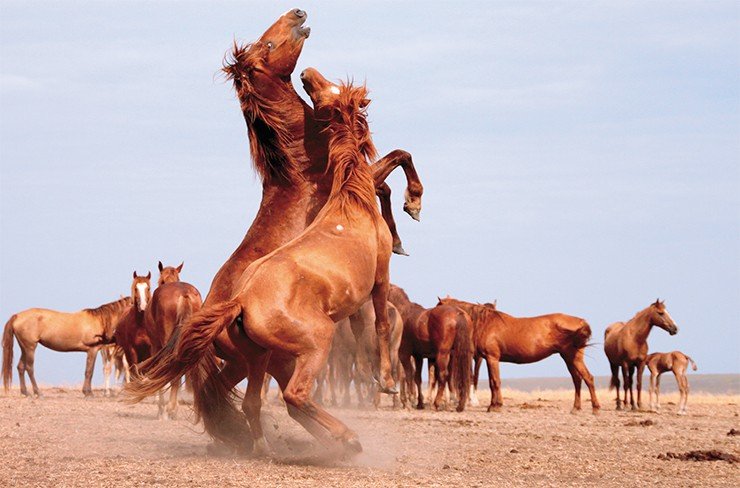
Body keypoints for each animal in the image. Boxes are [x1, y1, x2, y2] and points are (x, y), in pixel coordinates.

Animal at [2, 296, 131, 397]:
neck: (101, 320)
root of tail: (17, 316)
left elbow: (89, 371)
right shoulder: (92, 350)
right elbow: (89, 371)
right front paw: (88, 393)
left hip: (24, 347)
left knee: (20, 367)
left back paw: (25, 392)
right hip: (30, 347)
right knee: (29, 368)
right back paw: (38, 392)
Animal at [134, 9, 424, 451]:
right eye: (268, 45)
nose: (298, 13)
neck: (301, 166)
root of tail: (220, 307)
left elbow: (392, 169)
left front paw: (402, 231)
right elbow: (393, 167)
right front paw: (411, 210)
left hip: (256, 360)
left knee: (230, 394)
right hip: (286, 354)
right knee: (282, 396)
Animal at [439, 297, 600, 414]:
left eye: (438, 305)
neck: (485, 323)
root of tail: (580, 321)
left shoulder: (492, 358)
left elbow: (495, 382)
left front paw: (495, 406)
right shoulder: (489, 359)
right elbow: (492, 382)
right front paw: (494, 405)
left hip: (573, 357)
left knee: (588, 378)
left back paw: (595, 408)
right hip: (569, 358)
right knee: (577, 380)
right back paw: (576, 408)